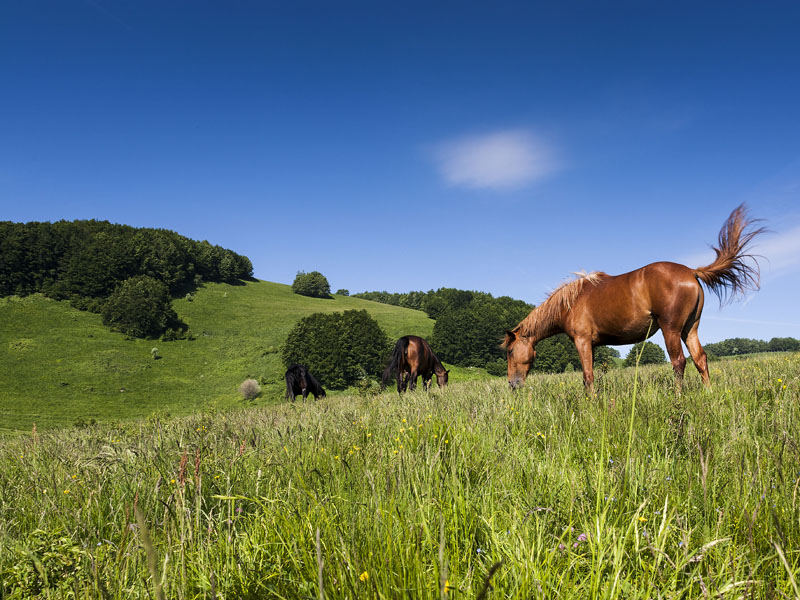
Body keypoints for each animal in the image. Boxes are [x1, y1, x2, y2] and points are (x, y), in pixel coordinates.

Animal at [504, 204, 764, 396]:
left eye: (510, 351)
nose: (512, 384)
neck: (571, 302)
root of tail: (692, 271)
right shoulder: (592, 345)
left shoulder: (582, 341)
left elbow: (587, 376)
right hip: (690, 329)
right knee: (700, 359)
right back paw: (708, 393)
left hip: (671, 330)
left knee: (679, 362)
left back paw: (678, 398)